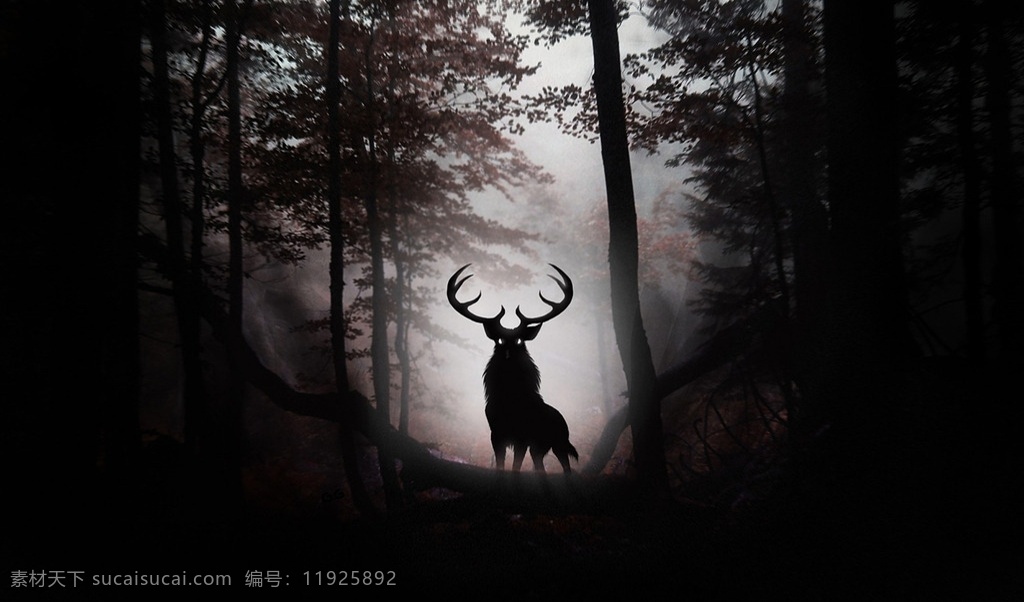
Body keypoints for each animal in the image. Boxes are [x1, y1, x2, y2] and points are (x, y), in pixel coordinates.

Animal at [447, 263, 579, 474]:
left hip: (559, 443)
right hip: (540, 448)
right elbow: (501, 465)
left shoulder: (522, 437)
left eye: (519, 340)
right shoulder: (496, 434)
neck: (510, 401)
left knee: (566, 466)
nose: (508, 353)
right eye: (499, 340)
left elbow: (516, 467)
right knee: (541, 466)